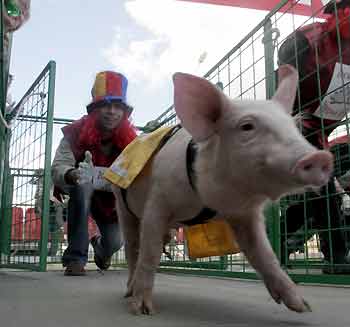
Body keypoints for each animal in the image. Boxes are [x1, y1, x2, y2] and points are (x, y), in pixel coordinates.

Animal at [111, 64, 330, 318]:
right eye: (247, 126)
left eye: (294, 126)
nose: (321, 157)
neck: (216, 201)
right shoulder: (158, 200)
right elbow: (149, 253)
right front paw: (143, 310)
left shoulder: (245, 214)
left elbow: (263, 254)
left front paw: (303, 307)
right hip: (121, 204)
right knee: (132, 248)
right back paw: (128, 292)